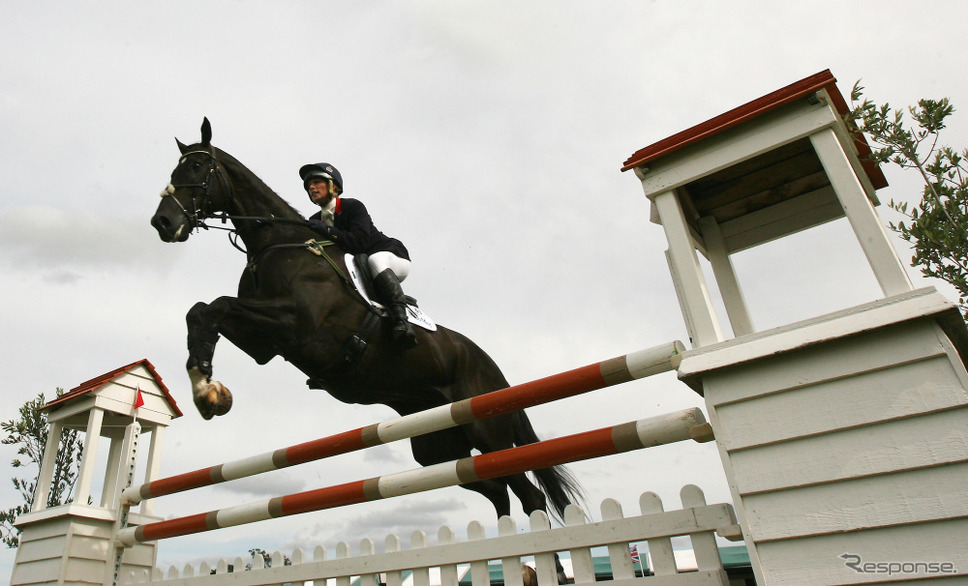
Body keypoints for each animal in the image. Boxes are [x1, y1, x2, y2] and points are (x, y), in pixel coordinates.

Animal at [151, 117, 584, 520]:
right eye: (175, 170)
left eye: (196, 168)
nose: (162, 223)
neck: (277, 244)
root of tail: (493, 369)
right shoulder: (262, 344)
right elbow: (203, 311)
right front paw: (206, 387)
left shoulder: (295, 326)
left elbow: (216, 306)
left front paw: (206, 390)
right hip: (437, 444)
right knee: (494, 488)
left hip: (486, 429)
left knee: (529, 494)